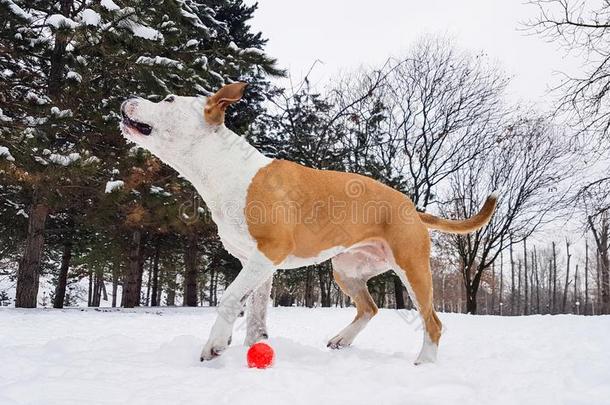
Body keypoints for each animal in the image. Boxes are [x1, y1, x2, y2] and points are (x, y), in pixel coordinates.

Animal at [120, 82, 494, 362]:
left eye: (169, 99)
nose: (128, 98)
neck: (225, 167)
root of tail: (412, 207)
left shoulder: (269, 252)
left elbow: (229, 297)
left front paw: (215, 344)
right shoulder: (256, 262)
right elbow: (254, 313)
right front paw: (254, 348)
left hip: (413, 269)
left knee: (432, 321)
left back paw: (424, 362)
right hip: (346, 270)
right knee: (370, 307)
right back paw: (343, 339)